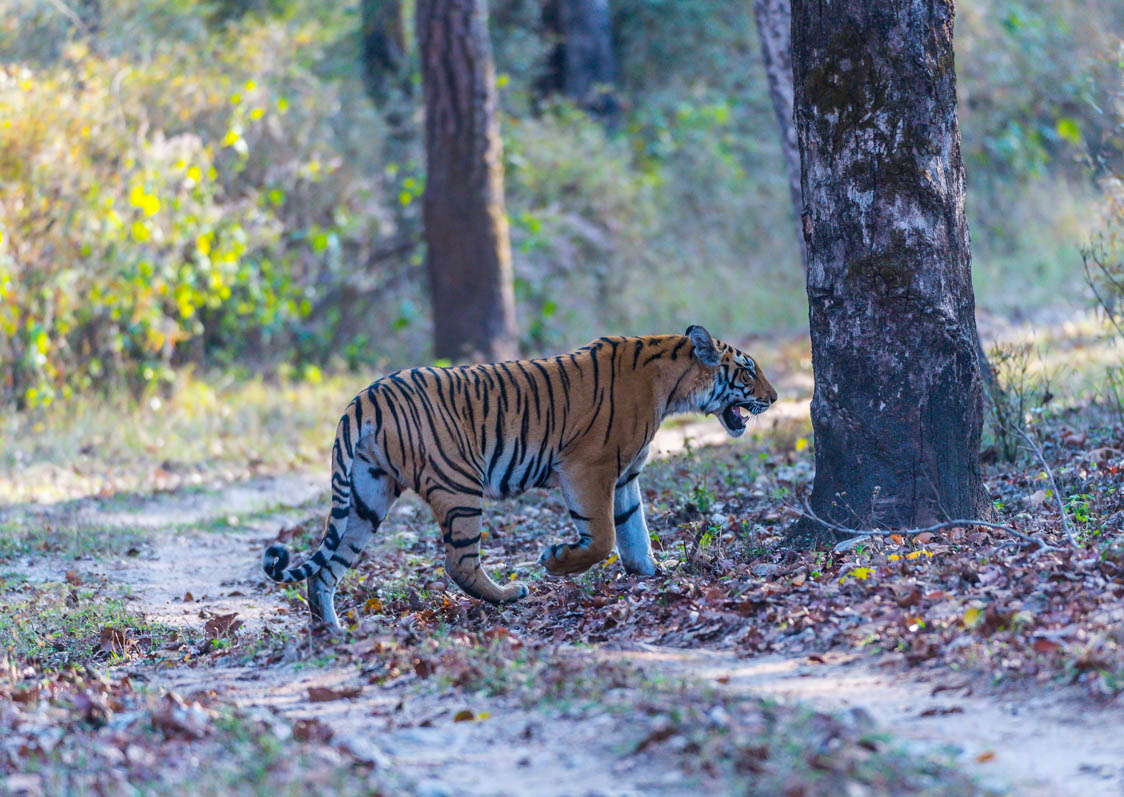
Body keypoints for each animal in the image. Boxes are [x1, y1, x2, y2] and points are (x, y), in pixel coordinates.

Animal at [262, 325, 777, 628]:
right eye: (747, 370)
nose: (772, 399)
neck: (671, 386)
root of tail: (364, 398)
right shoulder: (588, 467)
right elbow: (603, 537)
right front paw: (556, 561)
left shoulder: (626, 477)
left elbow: (635, 532)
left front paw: (655, 575)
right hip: (459, 484)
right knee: (459, 562)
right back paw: (510, 594)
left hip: (368, 495)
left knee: (326, 567)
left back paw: (333, 630)